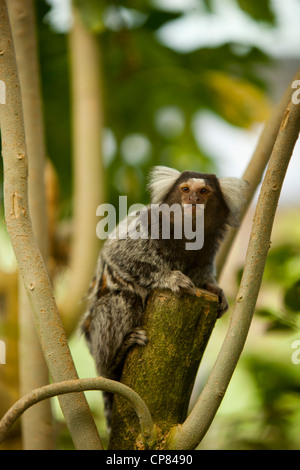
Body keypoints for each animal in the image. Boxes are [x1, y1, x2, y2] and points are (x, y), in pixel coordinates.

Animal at [80, 166, 248, 426]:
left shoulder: (207, 248)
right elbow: (118, 255)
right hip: (96, 335)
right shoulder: (145, 226)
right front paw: (170, 278)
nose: (193, 200)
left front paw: (215, 290)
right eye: (185, 189)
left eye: (204, 192)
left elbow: (202, 273)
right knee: (123, 299)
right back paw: (115, 357)